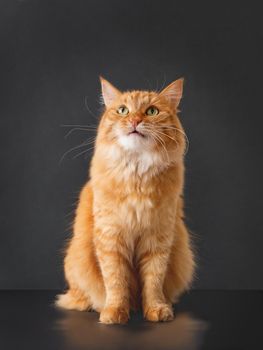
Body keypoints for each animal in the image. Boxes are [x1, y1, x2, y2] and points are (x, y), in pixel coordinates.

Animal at [56, 78, 196, 324]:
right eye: (123, 110)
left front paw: (156, 310)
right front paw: (114, 312)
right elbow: (116, 281)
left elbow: (153, 282)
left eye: (151, 111)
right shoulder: (111, 238)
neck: (137, 172)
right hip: (76, 259)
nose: (135, 121)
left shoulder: (157, 240)